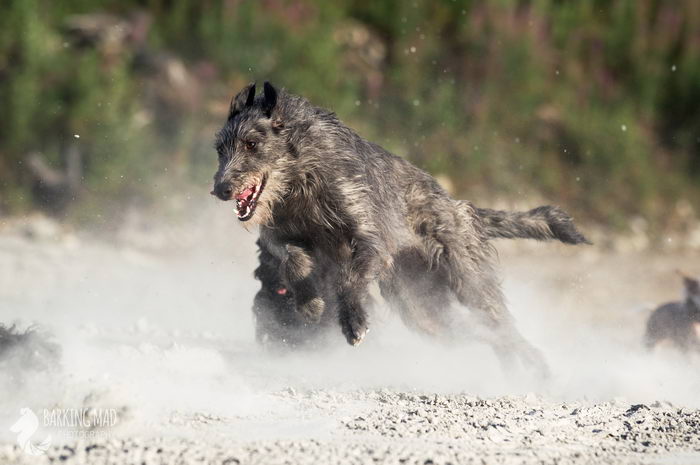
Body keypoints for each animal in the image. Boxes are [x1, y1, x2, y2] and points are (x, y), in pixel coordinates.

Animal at [211, 82, 588, 374]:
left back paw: (535, 365)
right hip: (423, 309)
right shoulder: (277, 232)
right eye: (220, 149)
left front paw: (353, 320)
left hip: (466, 276)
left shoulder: (365, 231)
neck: (301, 176)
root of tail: (458, 205)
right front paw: (309, 301)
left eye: (252, 143)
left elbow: (350, 275)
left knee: (498, 319)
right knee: (476, 331)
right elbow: (291, 257)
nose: (220, 190)